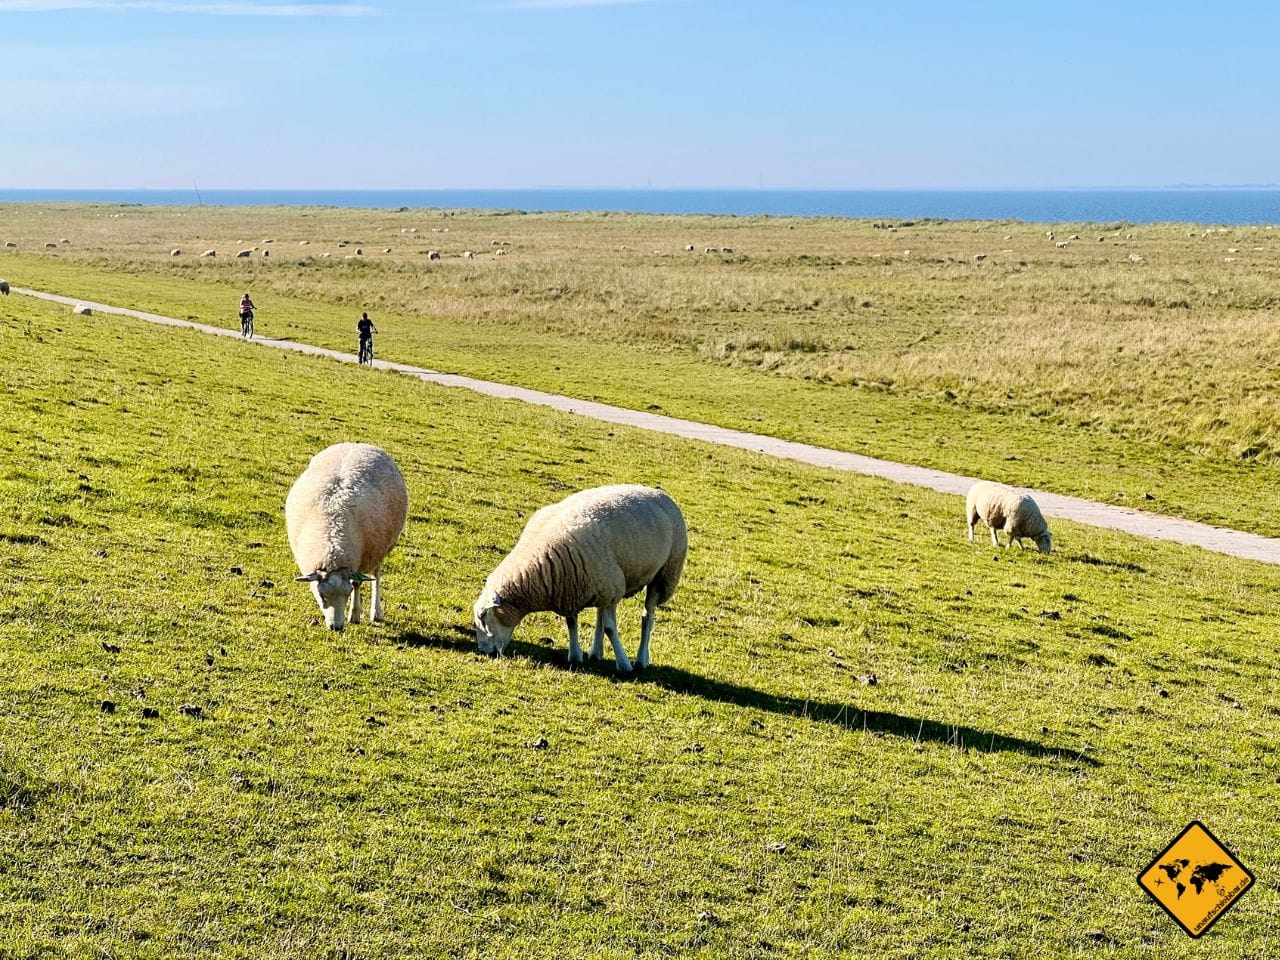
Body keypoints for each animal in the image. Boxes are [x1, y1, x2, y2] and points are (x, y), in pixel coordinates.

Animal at [286, 442, 407, 632]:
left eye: (347, 593)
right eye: (321, 595)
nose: (336, 627)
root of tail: (358, 443)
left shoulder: (361, 558)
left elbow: (357, 583)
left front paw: (355, 615)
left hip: (380, 548)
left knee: (376, 576)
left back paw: (376, 612)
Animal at [473, 483, 691, 670]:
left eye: (483, 617)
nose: (483, 651)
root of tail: (659, 493)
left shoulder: (595, 587)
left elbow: (610, 629)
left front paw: (623, 664)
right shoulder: (570, 590)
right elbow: (572, 623)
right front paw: (575, 655)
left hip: (664, 574)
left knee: (647, 616)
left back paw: (641, 659)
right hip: (607, 585)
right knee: (600, 616)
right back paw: (596, 653)